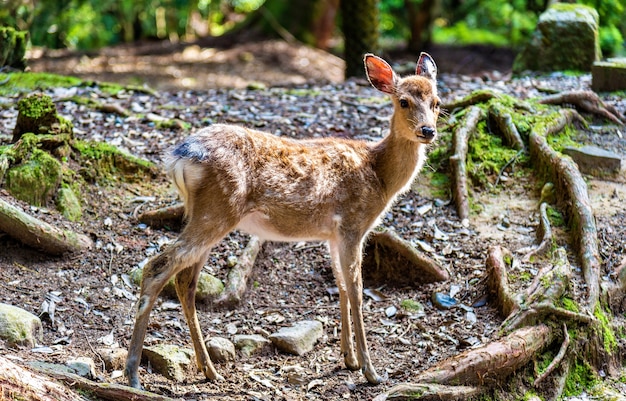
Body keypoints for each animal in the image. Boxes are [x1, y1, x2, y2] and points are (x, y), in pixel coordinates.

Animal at [125, 53, 438, 388]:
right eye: (403, 101)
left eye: (436, 101)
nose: (428, 131)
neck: (379, 175)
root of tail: (180, 157)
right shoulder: (353, 224)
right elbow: (356, 290)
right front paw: (370, 370)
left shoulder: (333, 235)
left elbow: (341, 285)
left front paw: (349, 358)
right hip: (218, 209)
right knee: (156, 267)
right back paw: (133, 374)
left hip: (204, 214)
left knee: (185, 281)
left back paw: (208, 369)